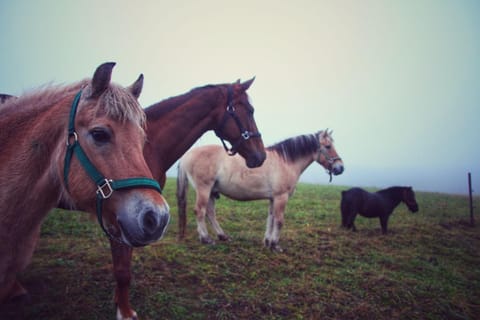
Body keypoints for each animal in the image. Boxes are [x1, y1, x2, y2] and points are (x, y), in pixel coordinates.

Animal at [178, 130, 344, 252]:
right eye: (328, 146)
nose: (340, 168)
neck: (285, 162)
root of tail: (187, 155)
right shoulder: (281, 197)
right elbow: (279, 220)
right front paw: (275, 245)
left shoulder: (273, 198)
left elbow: (270, 219)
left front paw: (268, 241)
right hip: (204, 189)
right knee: (200, 211)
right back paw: (205, 238)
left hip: (212, 191)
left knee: (210, 213)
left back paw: (222, 236)